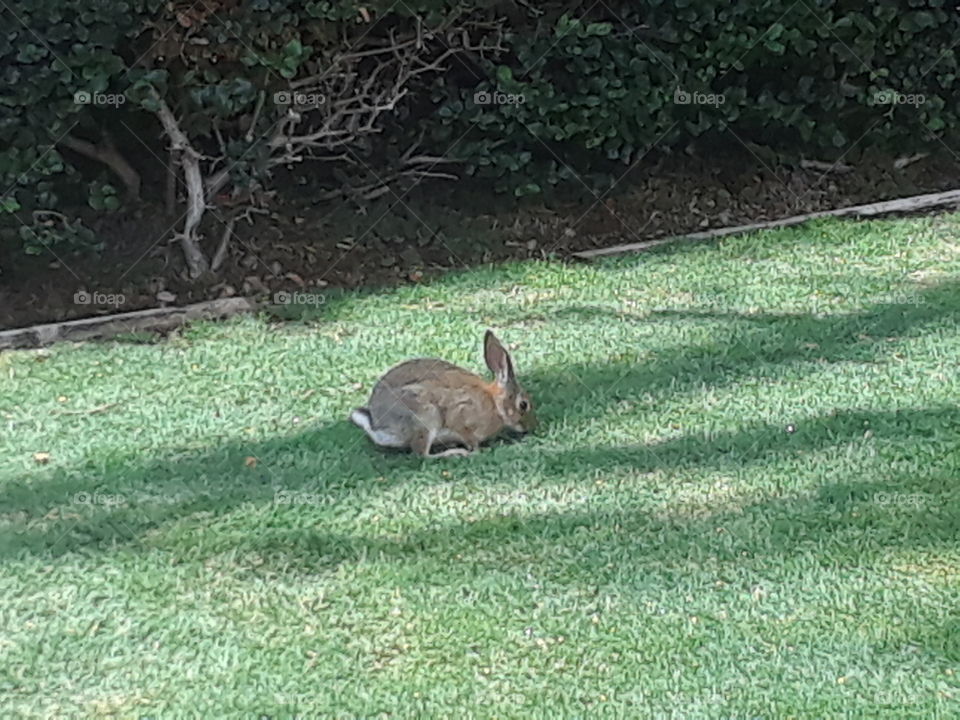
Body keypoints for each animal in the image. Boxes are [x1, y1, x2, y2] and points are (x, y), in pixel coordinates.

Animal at [350, 330, 537, 457]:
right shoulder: (461, 416)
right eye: (523, 405)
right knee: (422, 454)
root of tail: (378, 426)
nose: (530, 427)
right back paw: (454, 453)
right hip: (427, 417)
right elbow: (469, 438)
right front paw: (476, 450)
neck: (495, 403)